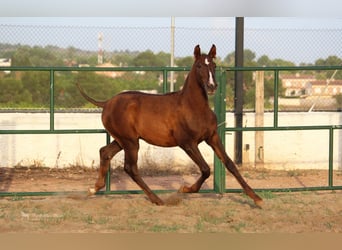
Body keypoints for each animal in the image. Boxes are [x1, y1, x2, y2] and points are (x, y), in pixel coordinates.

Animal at [77, 44, 262, 207]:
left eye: (214, 65)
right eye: (199, 65)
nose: (211, 86)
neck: (192, 107)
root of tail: (107, 103)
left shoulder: (212, 137)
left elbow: (230, 164)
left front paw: (256, 198)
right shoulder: (187, 143)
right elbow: (205, 169)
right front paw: (185, 189)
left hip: (123, 140)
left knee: (105, 152)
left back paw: (94, 189)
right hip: (130, 142)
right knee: (130, 168)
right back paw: (157, 199)